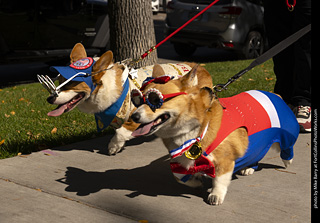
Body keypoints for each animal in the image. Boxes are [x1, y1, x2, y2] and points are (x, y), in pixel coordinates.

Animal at [38, 43, 212, 155]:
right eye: (60, 81)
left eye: (71, 83)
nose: (49, 98)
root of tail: (201, 68)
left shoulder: (137, 113)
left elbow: (121, 131)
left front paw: (113, 147)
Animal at [131, 66, 300, 206]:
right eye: (137, 100)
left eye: (154, 100)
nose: (134, 116)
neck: (197, 128)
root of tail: (274, 94)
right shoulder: (181, 160)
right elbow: (178, 176)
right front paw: (196, 181)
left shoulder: (225, 160)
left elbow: (220, 180)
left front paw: (216, 195)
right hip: (257, 141)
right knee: (256, 153)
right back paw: (249, 168)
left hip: (285, 135)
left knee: (287, 148)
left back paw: (287, 161)